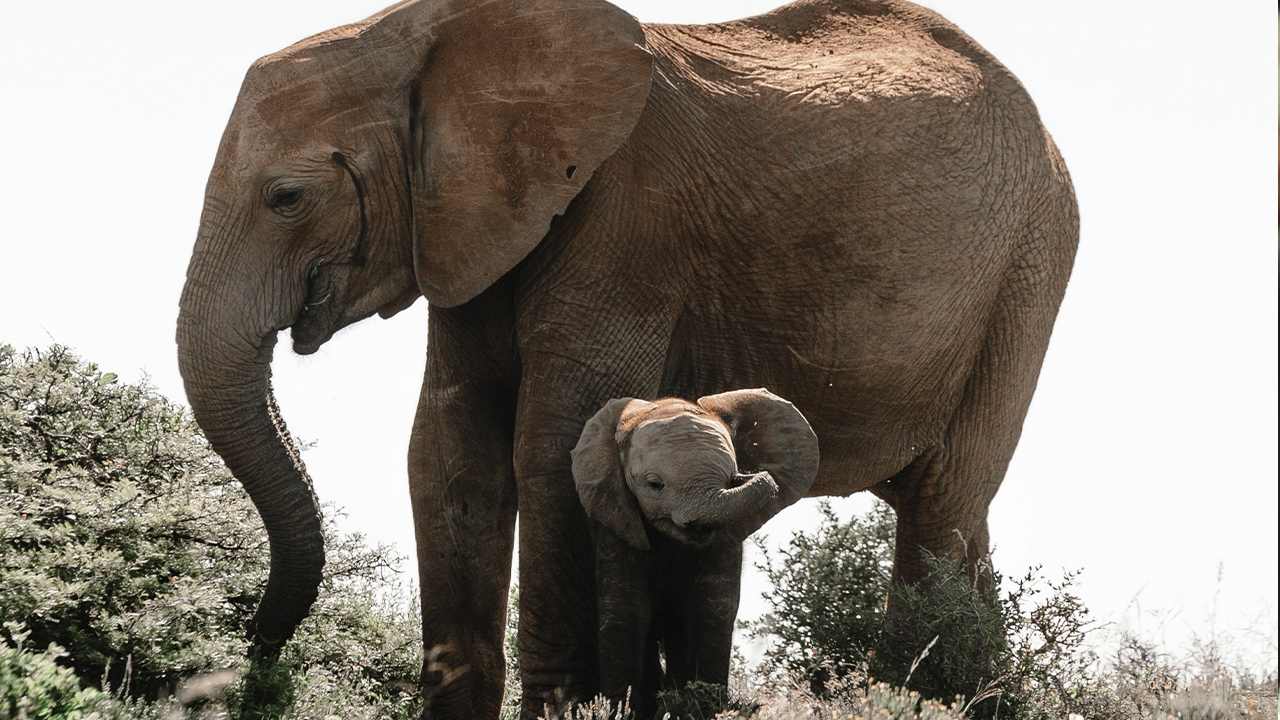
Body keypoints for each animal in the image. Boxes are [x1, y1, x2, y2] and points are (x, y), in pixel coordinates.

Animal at [570, 390, 819, 714]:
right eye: (654, 484)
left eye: (731, 478)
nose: (749, 475)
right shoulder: (617, 523)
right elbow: (625, 611)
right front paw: (613, 709)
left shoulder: (724, 542)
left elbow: (713, 608)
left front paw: (705, 707)